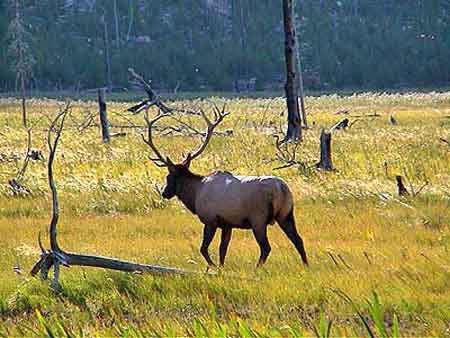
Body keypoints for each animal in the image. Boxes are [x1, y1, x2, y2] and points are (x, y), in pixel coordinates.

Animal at [142, 105, 308, 270]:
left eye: (168, 177)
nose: (164, 193)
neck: (194, 195)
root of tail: (281, 189)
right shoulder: (228, 224)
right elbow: (223, 249)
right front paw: (221, 267)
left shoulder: (210, 219)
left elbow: (203, 248)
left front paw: (213, 266)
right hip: (286, 215)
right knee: (298, 240)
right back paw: (306, 265)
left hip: (258, 218)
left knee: (266, 247)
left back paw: (256, 268)